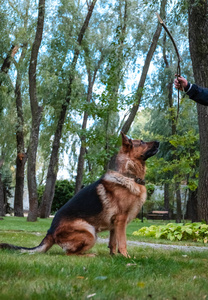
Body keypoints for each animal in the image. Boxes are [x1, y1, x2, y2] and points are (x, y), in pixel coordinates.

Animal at [0, 132, 159, 256]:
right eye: (142, 142)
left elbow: (113, 243)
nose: (158, 142)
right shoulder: (121, 220)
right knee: (69, 254)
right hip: (90, 232)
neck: (128, 175)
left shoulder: (114, 224)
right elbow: (123, 243)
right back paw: (90, 255)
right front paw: (127, 258)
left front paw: (113, 257)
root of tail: (50, 232)